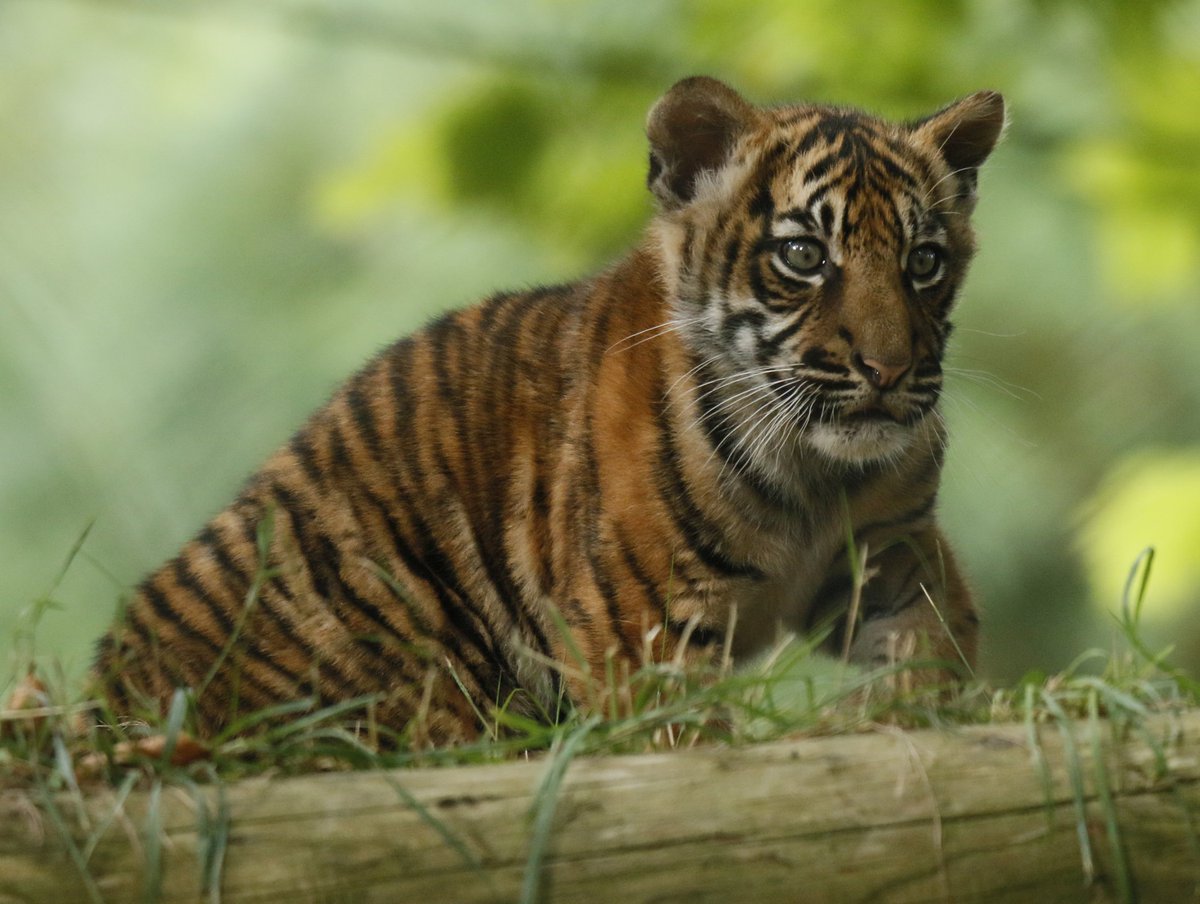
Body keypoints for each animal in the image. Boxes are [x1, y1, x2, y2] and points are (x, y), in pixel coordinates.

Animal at [93, 76, 1005, 745]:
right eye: (804, 255)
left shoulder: (892, 549)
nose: (888, 370)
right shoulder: (642, 631)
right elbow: (684, 738)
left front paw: (913, 705)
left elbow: (939, 633)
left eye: (925, 262)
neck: (814, 471)